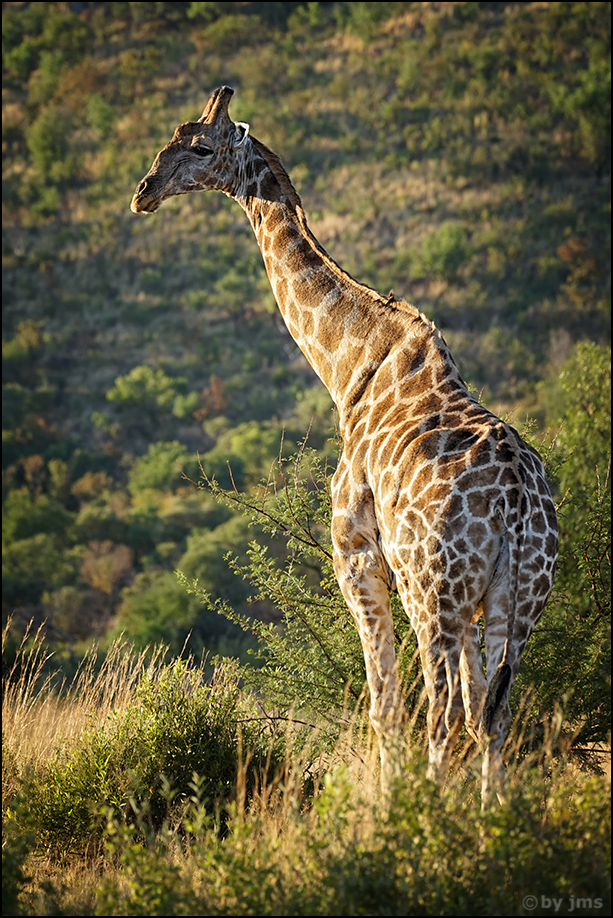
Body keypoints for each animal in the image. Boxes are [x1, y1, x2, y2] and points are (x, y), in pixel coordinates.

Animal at [131, 86, 558, 802]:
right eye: (169, 140)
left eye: (200, 147)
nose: (144, 193)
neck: (349, 366)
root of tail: (521, 505)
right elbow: (467, 705)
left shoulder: (357, 556)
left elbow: (384, 704)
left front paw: (391, 805)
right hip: (517, 599)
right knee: (492, 710)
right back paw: (492, 815)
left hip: (434, 592)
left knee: (441, 708)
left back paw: (427, 814)